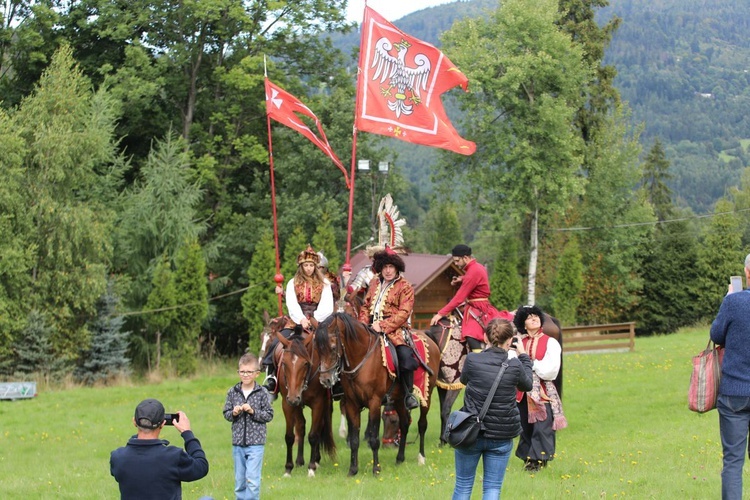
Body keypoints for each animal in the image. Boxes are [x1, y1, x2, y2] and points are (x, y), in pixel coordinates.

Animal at [262, 316, 336, 476]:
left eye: (306, 363)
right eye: (284, 363)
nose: (294, 397)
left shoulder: (318, 403)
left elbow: (314, 435)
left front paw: (312, 467)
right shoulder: (288, 403)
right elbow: (290, 435)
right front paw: (288, 468)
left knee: (319, 427)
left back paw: (316, 460)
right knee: (301, 426)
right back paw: (300, 460)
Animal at [316, 312, 440, 476]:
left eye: (333, 347)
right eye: (318, 349)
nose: (325, 380)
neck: (362, 357)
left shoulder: (374, 402)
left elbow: (374, 439)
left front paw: (376, 468)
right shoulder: (351, 404)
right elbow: (354, 439)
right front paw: (353, 469)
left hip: (427, 394)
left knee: (422, 424)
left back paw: (421, 457)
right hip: (399, 399)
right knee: (405, 423)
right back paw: (399, 458)